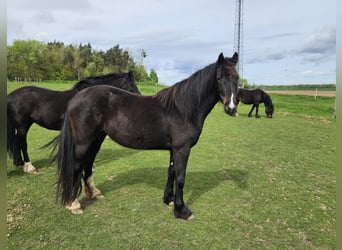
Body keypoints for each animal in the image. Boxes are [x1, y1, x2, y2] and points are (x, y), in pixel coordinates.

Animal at [5, 71, 139, 173]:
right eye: (131, 84)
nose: (139, 97)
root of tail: (10, 96)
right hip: (22, 125)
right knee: (22, 143)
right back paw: (29, 167)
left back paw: (19, 163)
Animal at [54, 52, 239, 219]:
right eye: (219, 78)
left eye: (237, 78)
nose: (231, 108)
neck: (183, 109)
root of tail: (75, 98)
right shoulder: (182, 149)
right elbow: (180, 178)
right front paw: (182, 210)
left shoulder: (174, 149)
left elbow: (171, 172)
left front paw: (168, 199)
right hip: (83, 142)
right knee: (77, 166)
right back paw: (74, 204)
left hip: (96, 140)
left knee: (88, 164)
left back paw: (93, 193)